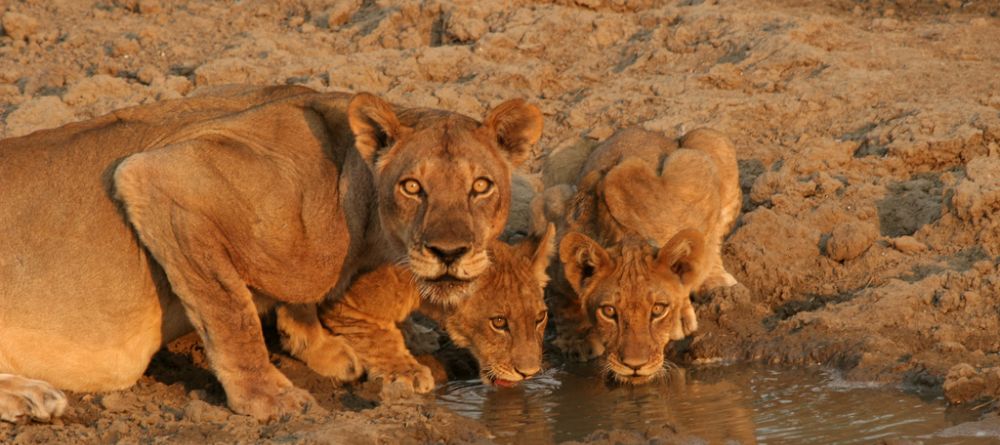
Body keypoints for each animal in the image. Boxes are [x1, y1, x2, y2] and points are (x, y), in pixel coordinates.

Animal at [0, 83, 540, 420]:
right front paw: (268, 398)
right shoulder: (160, 177)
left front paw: (323, 348)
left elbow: (293, 300)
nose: (449, 252)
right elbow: (228, 309)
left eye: (481, 186)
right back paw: (31, 395)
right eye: (411, 186)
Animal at [544, 125, 740, 382]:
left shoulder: (693, 168)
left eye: (657, 310)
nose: (634, 365)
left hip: (709, 137)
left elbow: (698, 240)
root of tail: (653, 131)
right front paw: (577, 342)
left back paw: (716, 280)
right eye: (609, 311)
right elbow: (561, 303)